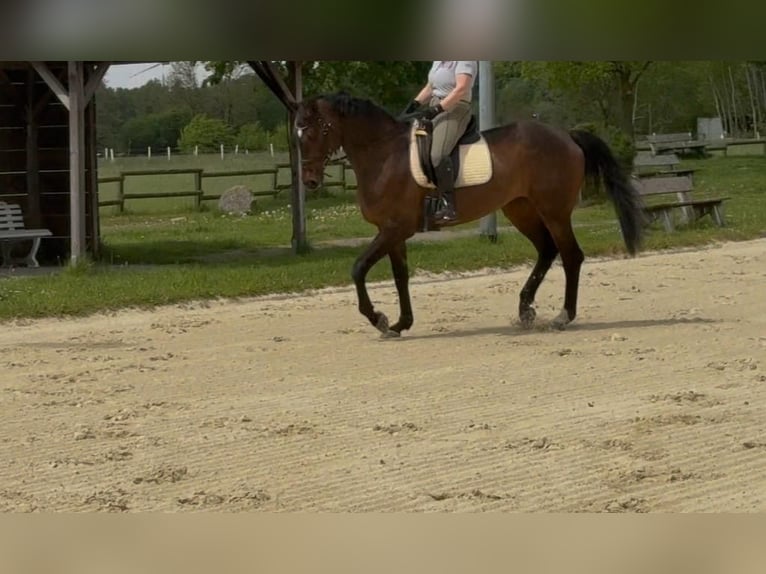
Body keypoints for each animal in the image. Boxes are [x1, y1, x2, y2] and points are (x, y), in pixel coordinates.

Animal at [292, 91, 645, 338]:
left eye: (312, 132)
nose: (309, 181)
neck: (383, 155)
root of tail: (566, 135)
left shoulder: (394, 228)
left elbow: (358, 268)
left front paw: (378, 318)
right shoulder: (392, 232)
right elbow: (400, 276)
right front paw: (401, 323)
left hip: (554, 211)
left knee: (571, 255)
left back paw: (562, 316)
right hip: (521, 209)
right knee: (547, 250)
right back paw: (525, 310)